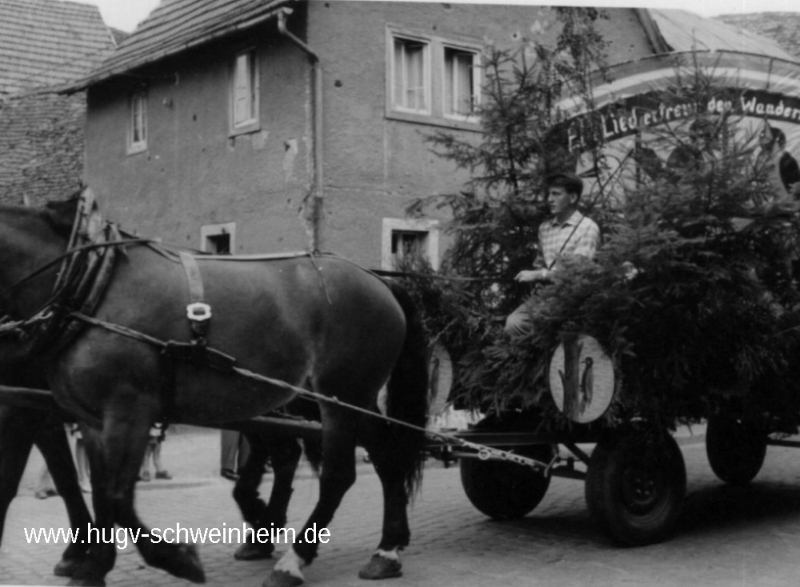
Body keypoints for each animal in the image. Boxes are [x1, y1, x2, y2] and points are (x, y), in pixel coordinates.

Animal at [0, 194, 428, 587]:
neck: (92, 286)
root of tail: (380, 282)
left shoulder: (127, 411)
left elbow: (117, 496)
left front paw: (177, 559)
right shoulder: (89, 419)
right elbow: (100, 492)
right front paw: (92, 567)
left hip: (340, 398)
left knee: (337, 476)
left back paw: (293, 561)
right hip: (355, 400)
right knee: (386, 456)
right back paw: (386, 549)